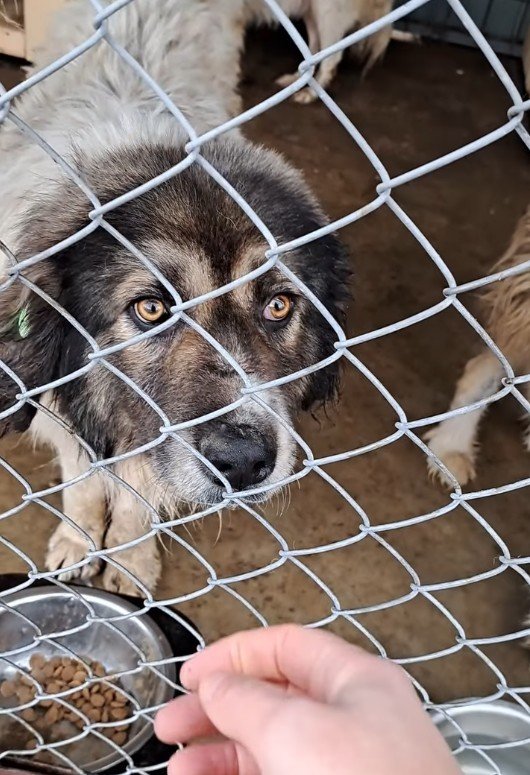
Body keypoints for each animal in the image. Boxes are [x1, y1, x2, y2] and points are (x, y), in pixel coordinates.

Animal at [0, 0, 350, 595]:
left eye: (278, 306)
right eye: (151, 308)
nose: (243, 461)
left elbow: (137, 501)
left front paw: (130, 562)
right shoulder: (64, 407)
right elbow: (83, 482)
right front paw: (78, 541)